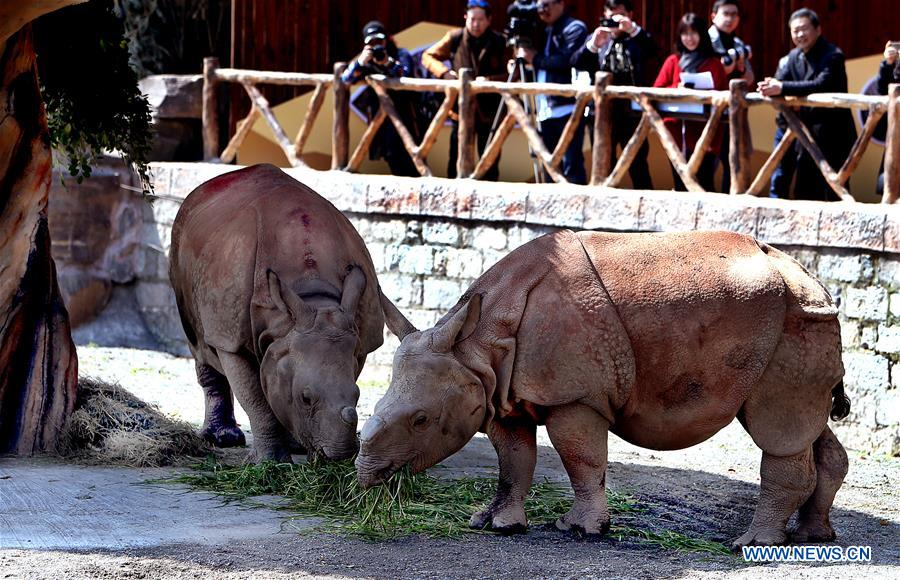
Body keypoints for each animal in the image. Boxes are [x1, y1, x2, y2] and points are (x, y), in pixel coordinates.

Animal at [170, 164, 392, 462]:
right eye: (305, 398)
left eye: (358, 395)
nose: (338, 456)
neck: (313, 297)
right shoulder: (230, 335)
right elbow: (254, 397)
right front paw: (271, 462)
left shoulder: (354, 332)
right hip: (182, 246)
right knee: (199, 343)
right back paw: (223, 439)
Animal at [356, 229, 850, 549]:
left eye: (421, 420)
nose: (366, 475)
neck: (477, 346)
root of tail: (814, 281)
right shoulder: (501, 394)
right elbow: (512, 460)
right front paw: (495, 524)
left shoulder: (574, 396)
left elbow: (580, 458)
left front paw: (580, 529)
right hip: (798, 321)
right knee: (805, 424)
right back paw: (812, 535)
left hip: (792, 320)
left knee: (776, 427)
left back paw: (751, 544)